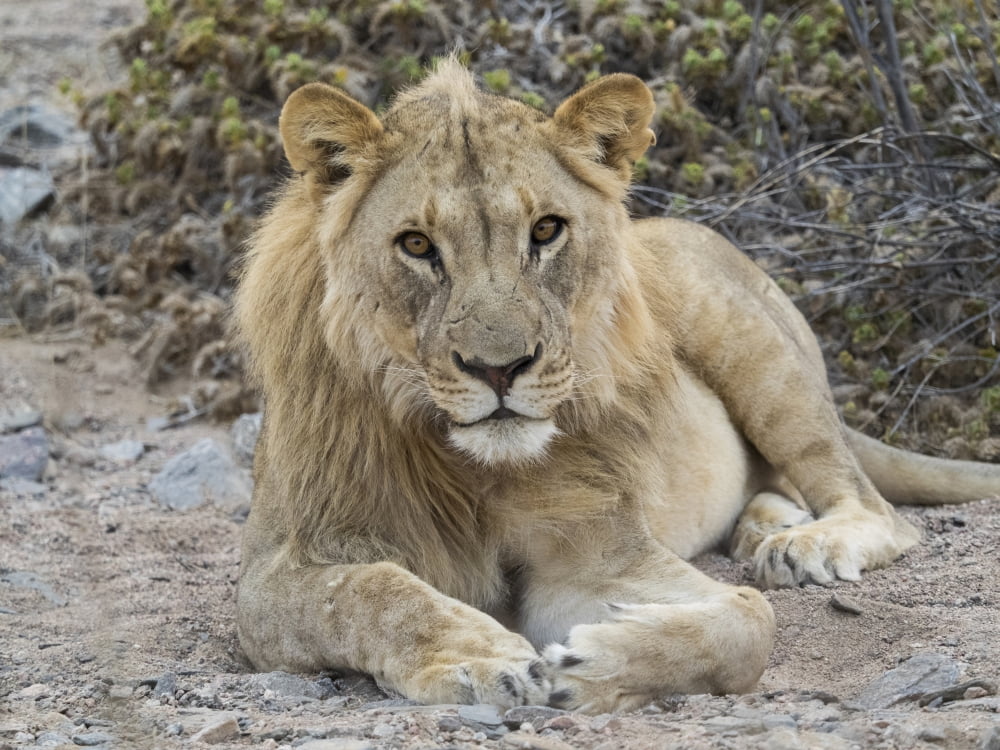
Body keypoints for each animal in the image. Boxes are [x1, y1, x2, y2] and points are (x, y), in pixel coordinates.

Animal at [233, 61, 1000, 713]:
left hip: (757, 355)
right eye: (417, 245)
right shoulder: (273, 576)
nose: (500, 368)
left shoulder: (593, 550)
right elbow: (372, 591)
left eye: (546, 230)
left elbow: (748, 618)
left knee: (873, 506)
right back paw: (768, 527)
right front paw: (479, 656)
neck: (473, 471)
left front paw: (592, 666)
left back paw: (803, 544)